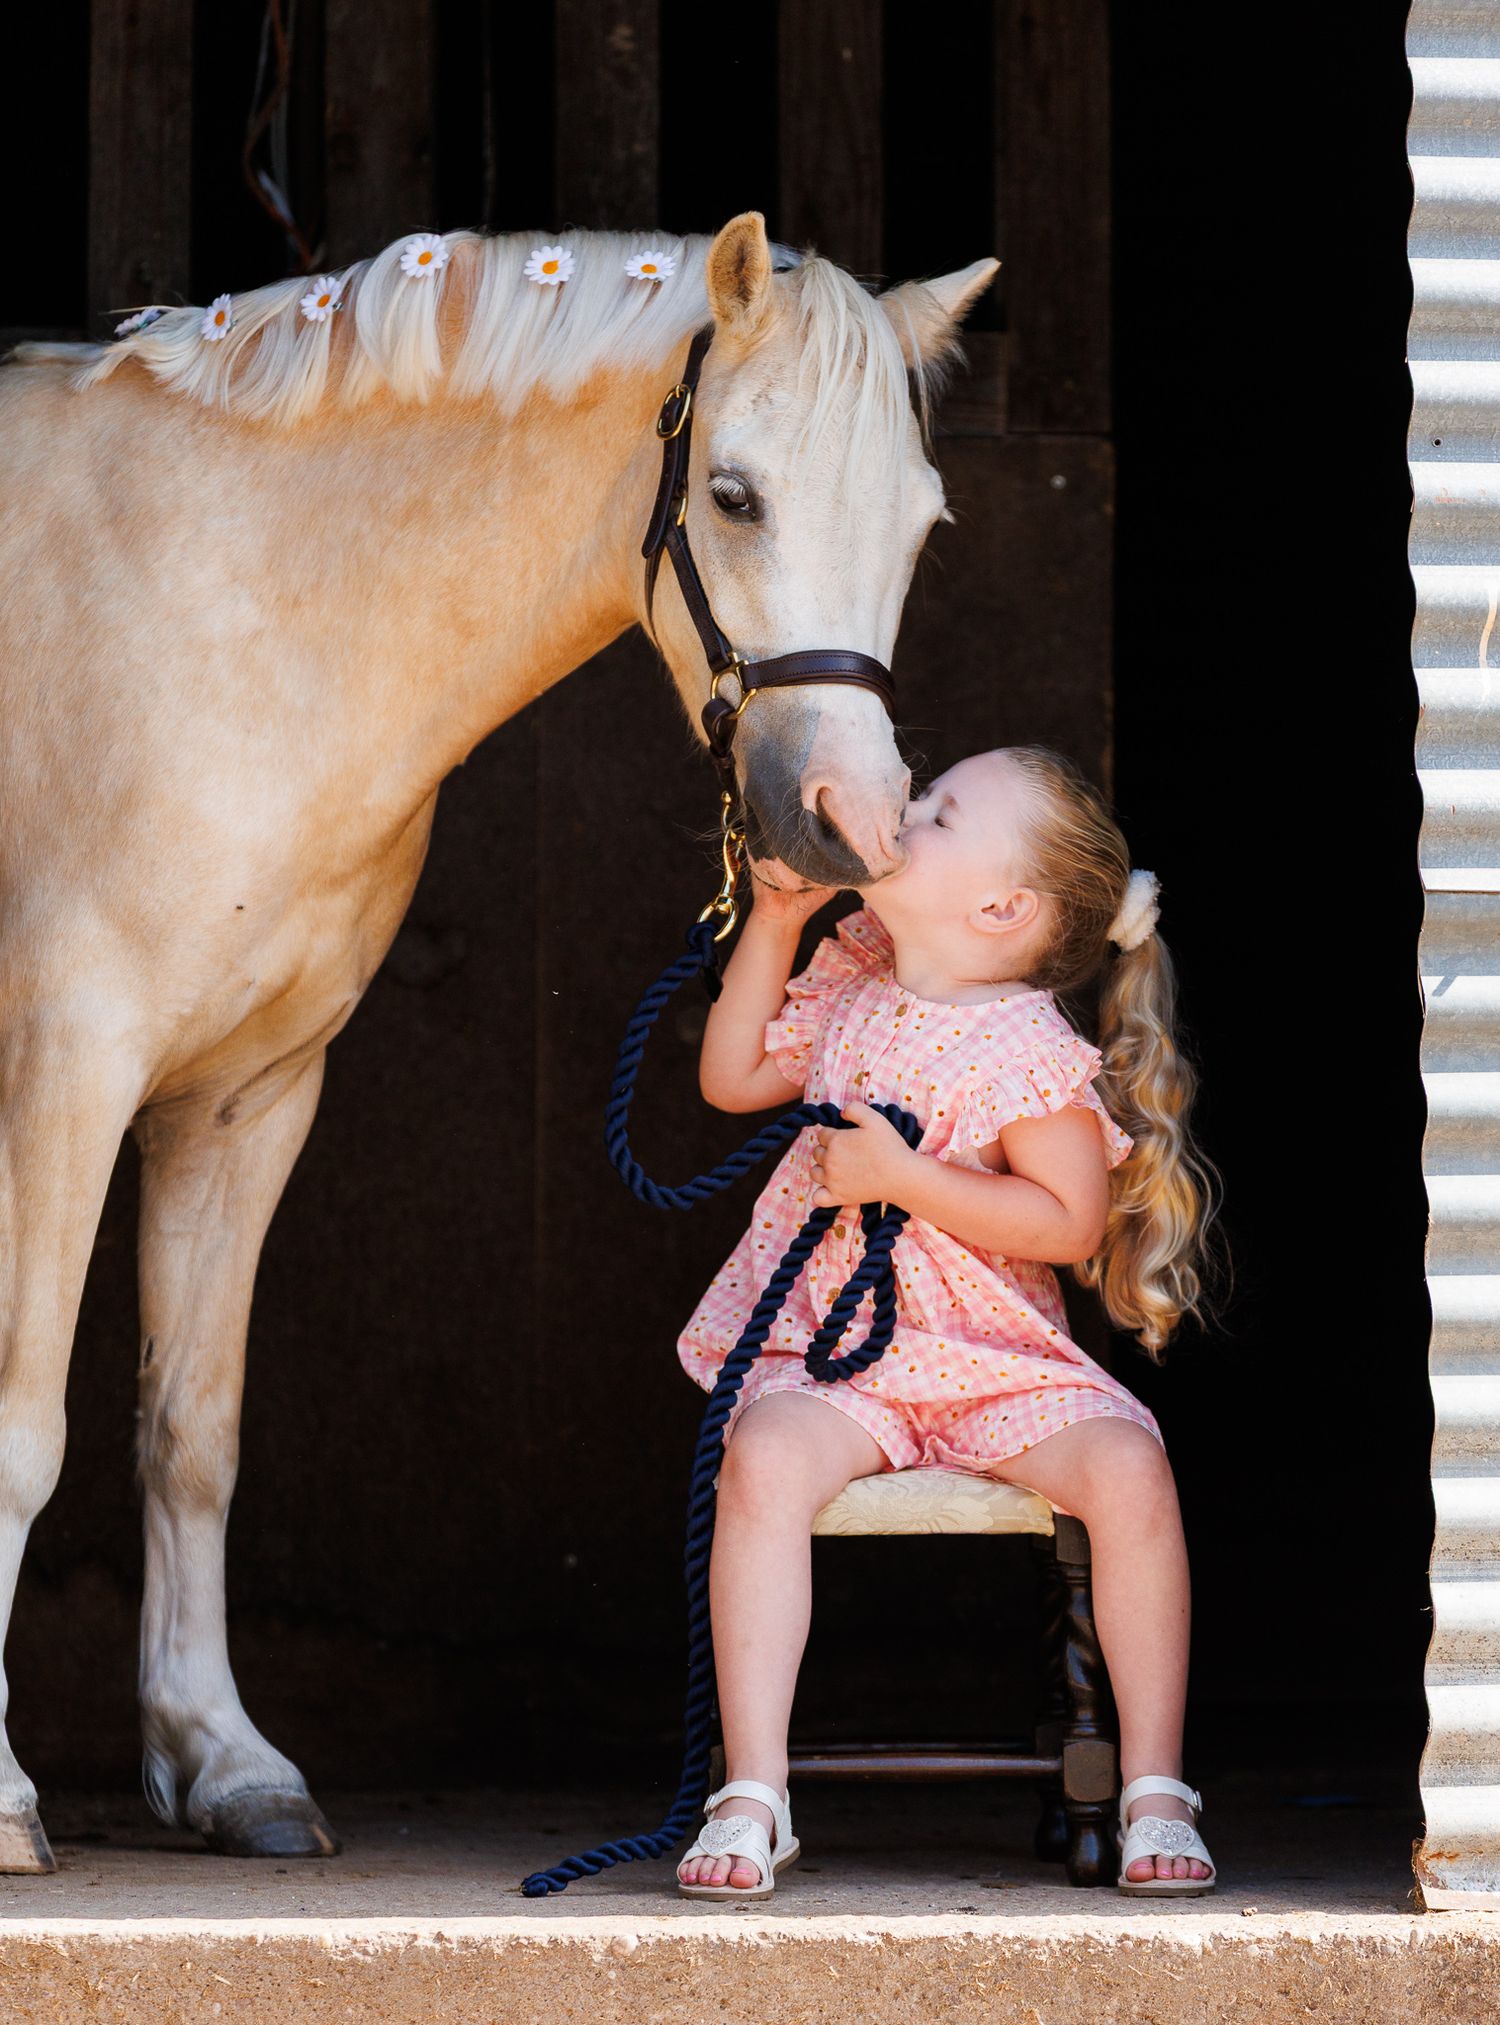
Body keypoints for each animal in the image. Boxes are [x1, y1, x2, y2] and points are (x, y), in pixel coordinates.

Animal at [0, 211, 995, 1868]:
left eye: (923, 527)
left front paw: (225, 1762)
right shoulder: (62, 1077)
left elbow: (192, 1430)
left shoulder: (244, 1099)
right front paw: (6, 1796)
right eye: (734, 494)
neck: (229, 604)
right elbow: (24, 1426)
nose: (846, 824)